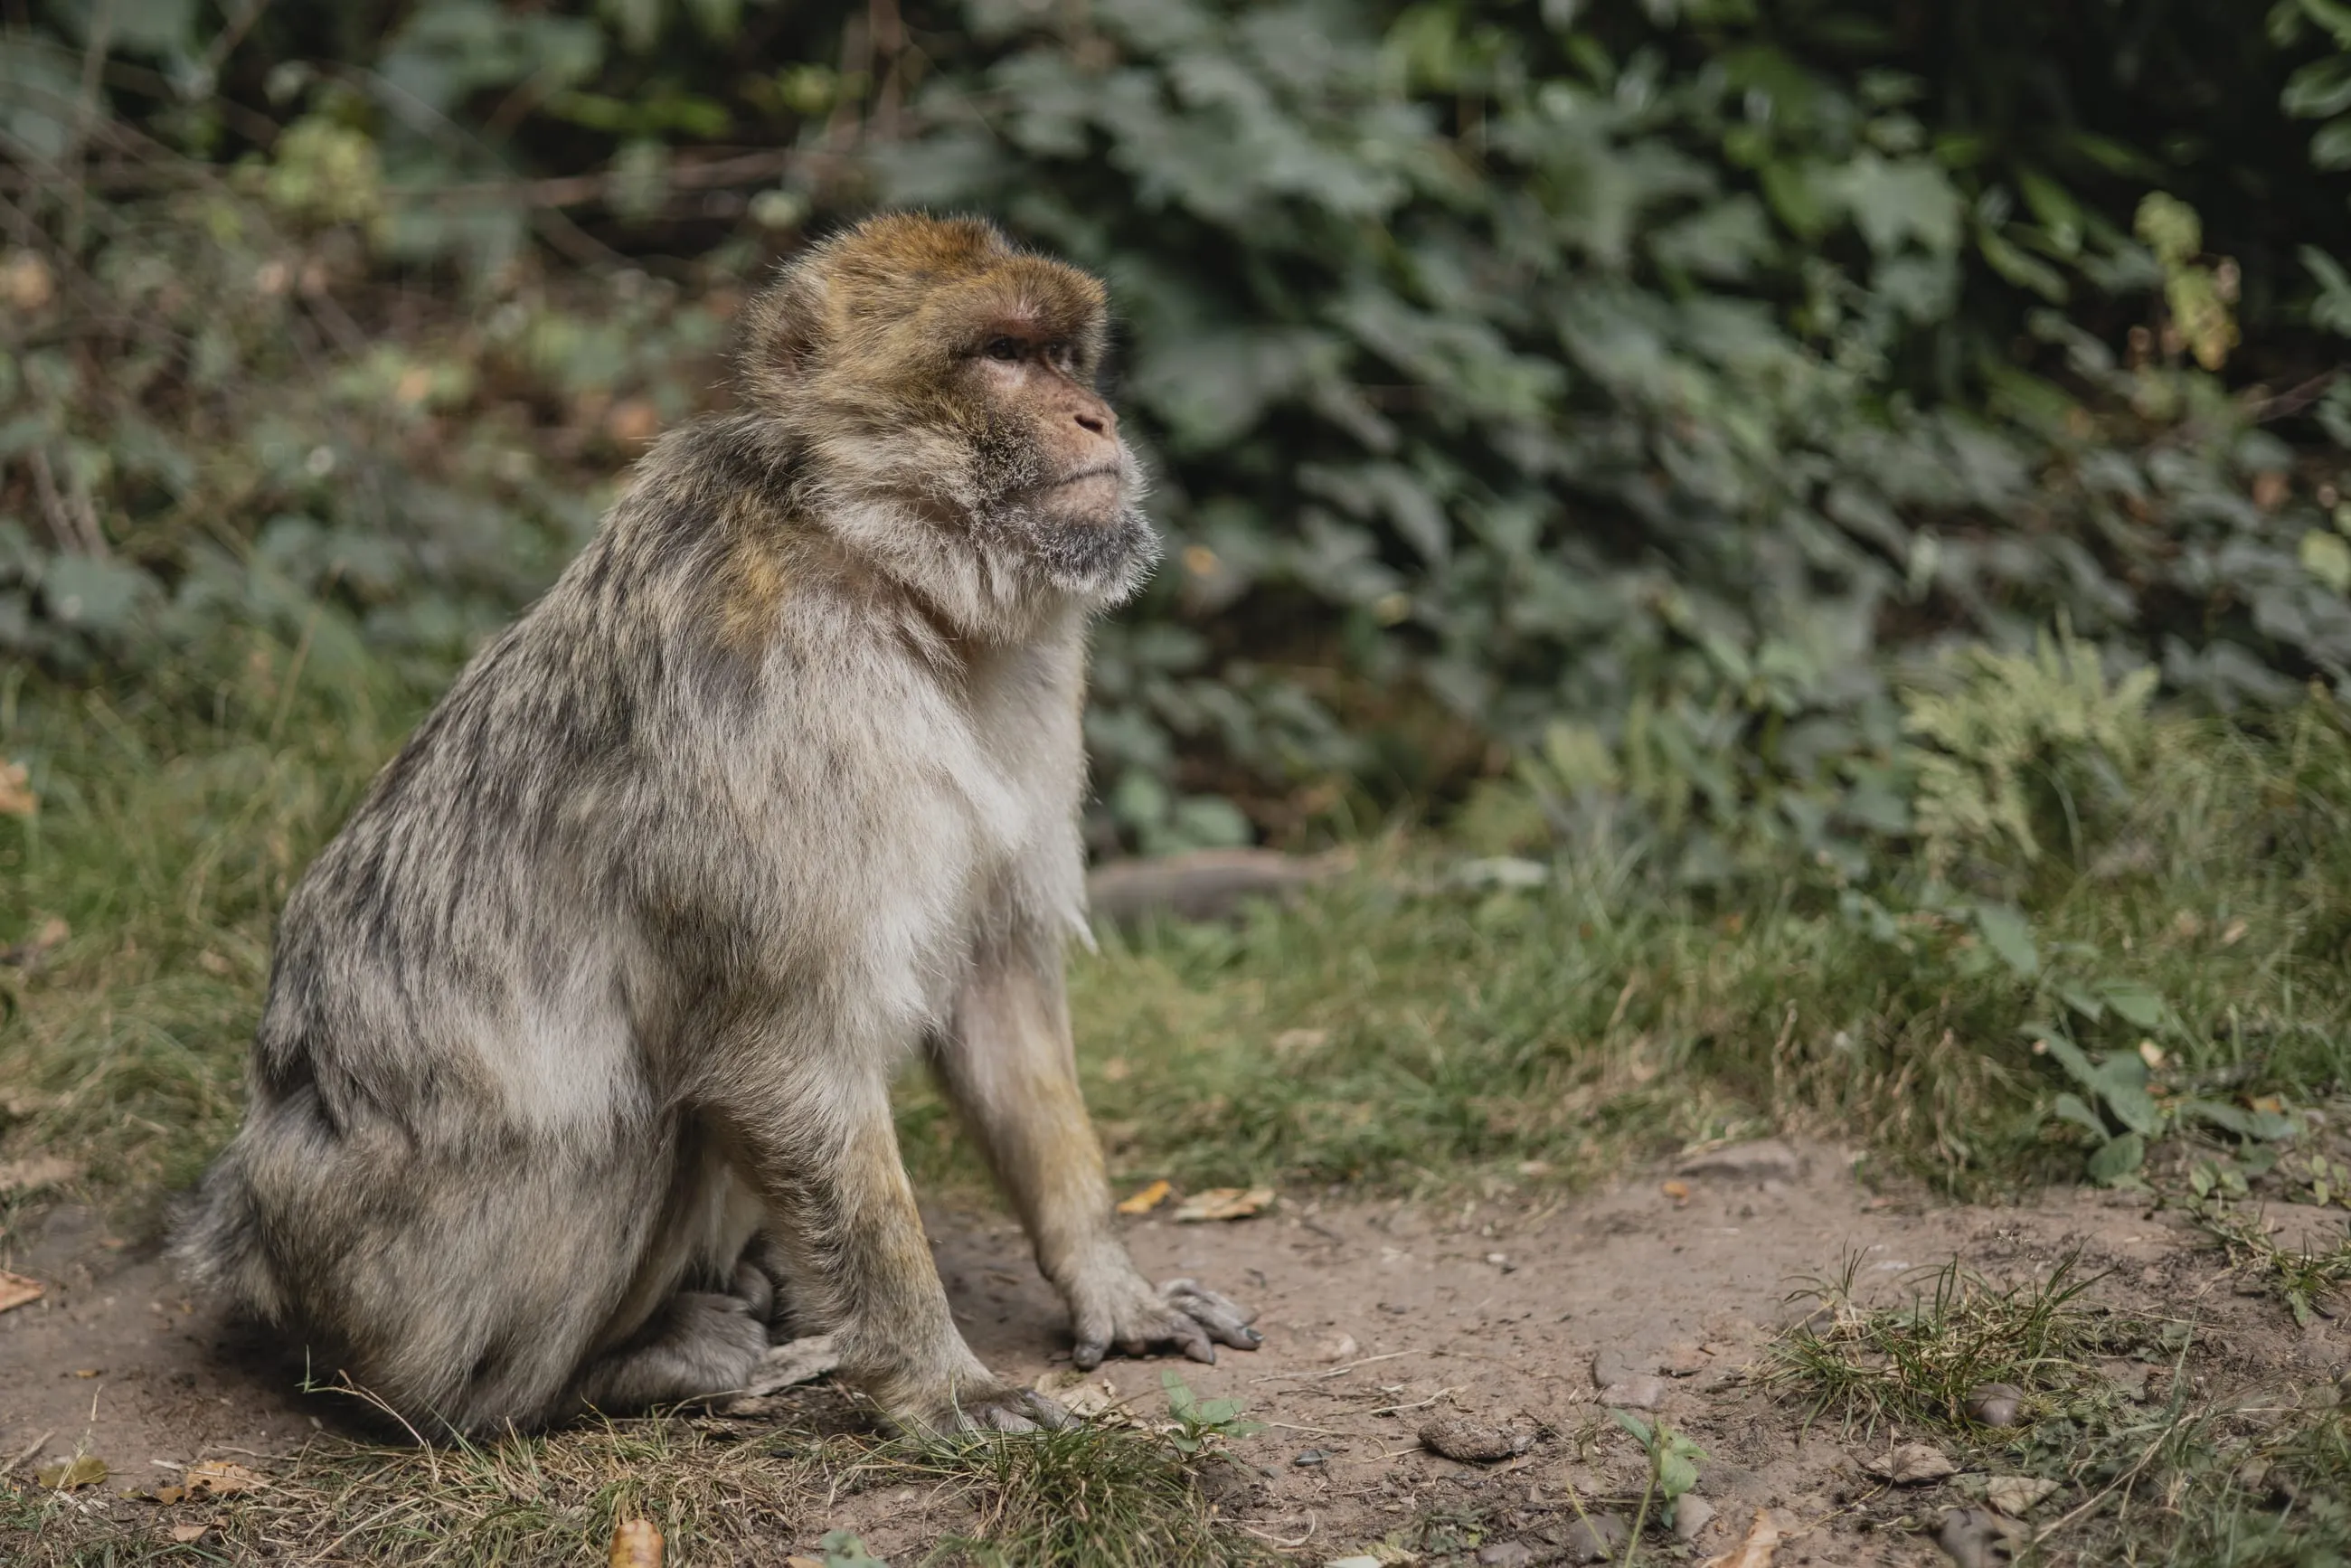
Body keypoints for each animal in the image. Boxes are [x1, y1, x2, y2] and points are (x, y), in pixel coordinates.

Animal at [170, 212, 1260, 1437]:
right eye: (1001, 354)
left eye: (1065, 355)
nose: (1096, 417)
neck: (887, 571)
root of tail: (256, 1247)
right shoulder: (783, 697)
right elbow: (777, 1053)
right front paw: (940, 1378)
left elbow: (996, 987)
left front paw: (1108, 1282)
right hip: (418, 1304)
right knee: (640, 1111)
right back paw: (627, 1367)